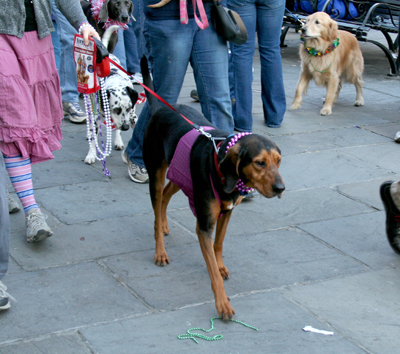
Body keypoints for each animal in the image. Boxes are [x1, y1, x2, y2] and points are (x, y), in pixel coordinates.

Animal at [83, 26, 138, 165]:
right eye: (116, 110)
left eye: (129, 108)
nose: (126, 127)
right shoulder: (97, 118)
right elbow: (94, 139)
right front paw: (90, 155)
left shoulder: (132, 117)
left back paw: (118, 140)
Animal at [141, 57, 284, 318]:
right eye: (260, 162)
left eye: (278, 161)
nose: (281, 188)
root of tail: (159, 108)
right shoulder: (204, 226)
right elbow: (213, 274)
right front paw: (223, 304)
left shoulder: (226, 213)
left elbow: (218, 245)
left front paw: (220, 265)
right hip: (156, 173)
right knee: (156, 207)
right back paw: (160, 249)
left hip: (181, 175)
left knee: (165, 196)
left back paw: (165, 225)